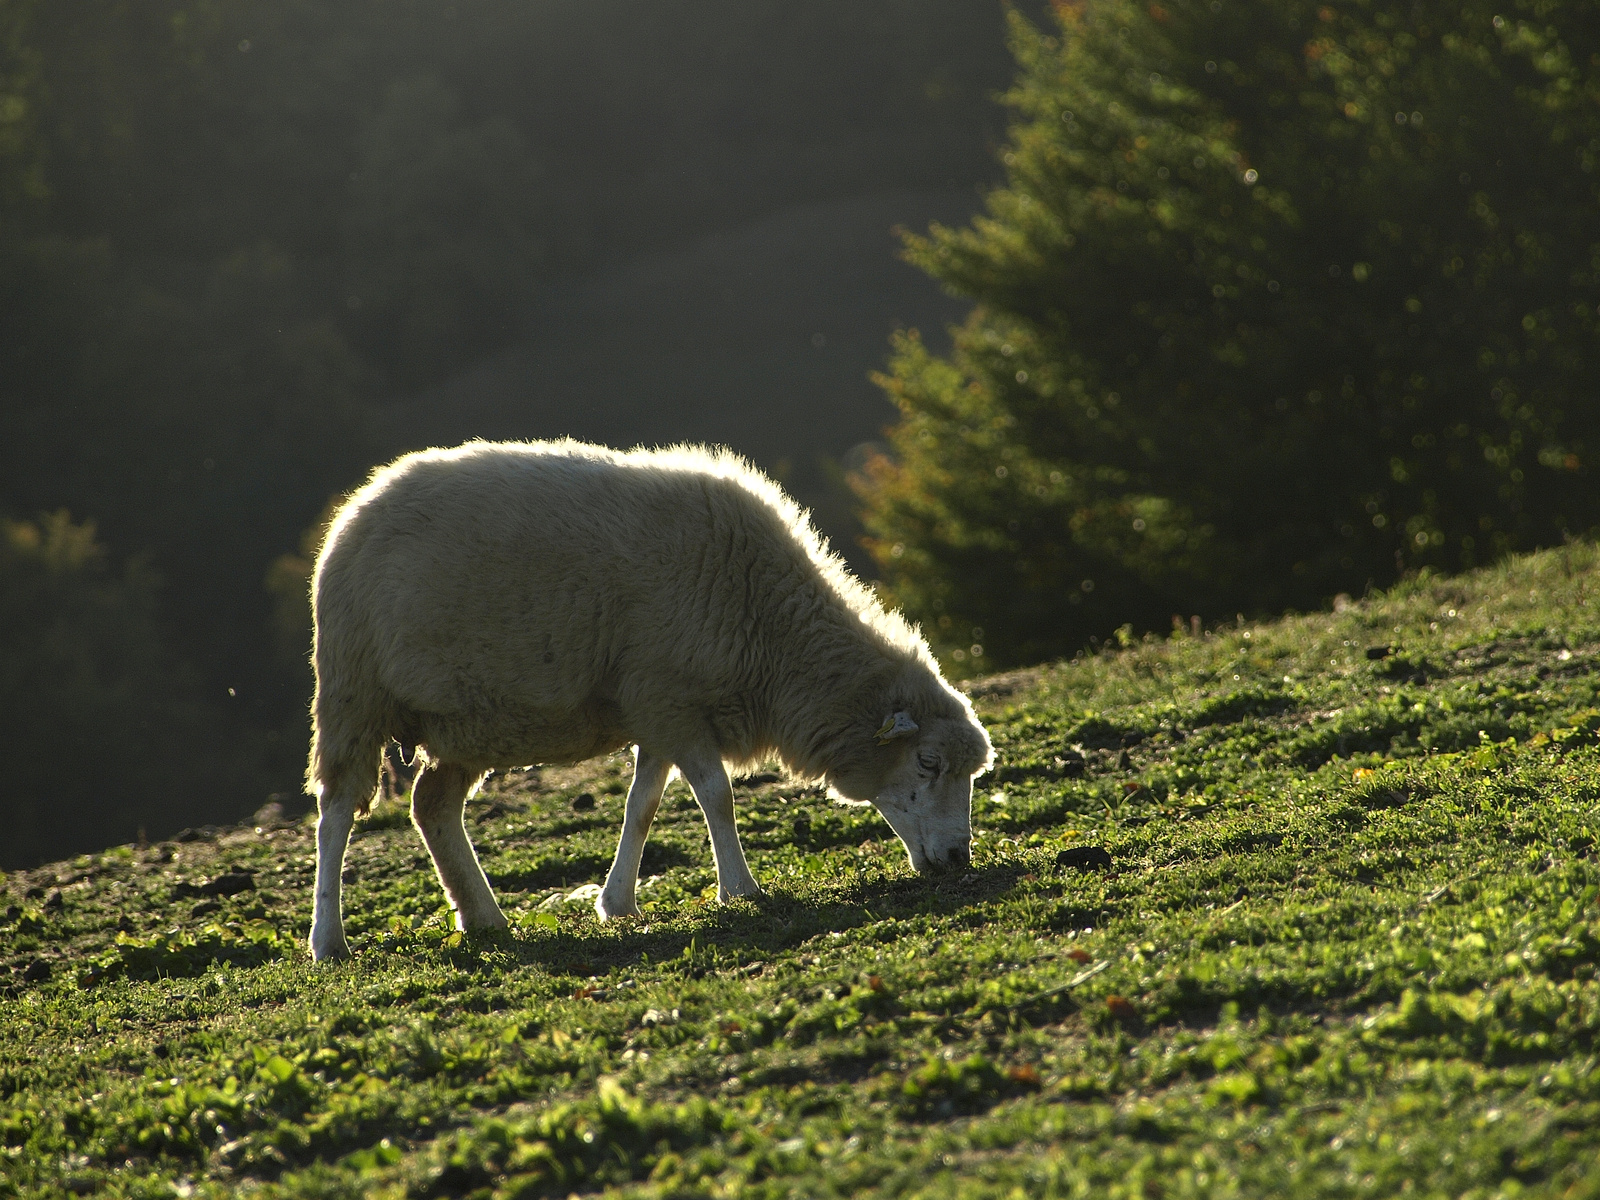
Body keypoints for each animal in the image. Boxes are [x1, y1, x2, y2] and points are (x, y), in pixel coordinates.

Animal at [305, 438, 992, 960]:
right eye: (928, 763)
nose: (959, 857)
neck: (773, 635)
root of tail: (356, 505)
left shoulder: (661, 709)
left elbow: (644, 805)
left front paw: (618, 903)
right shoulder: (671, 702)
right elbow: (716, 796)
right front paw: (740, 890)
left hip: (468, 723)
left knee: (432, 805)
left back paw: (484, 918)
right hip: (353, 694)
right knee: (335, 816)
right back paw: (328, 940)